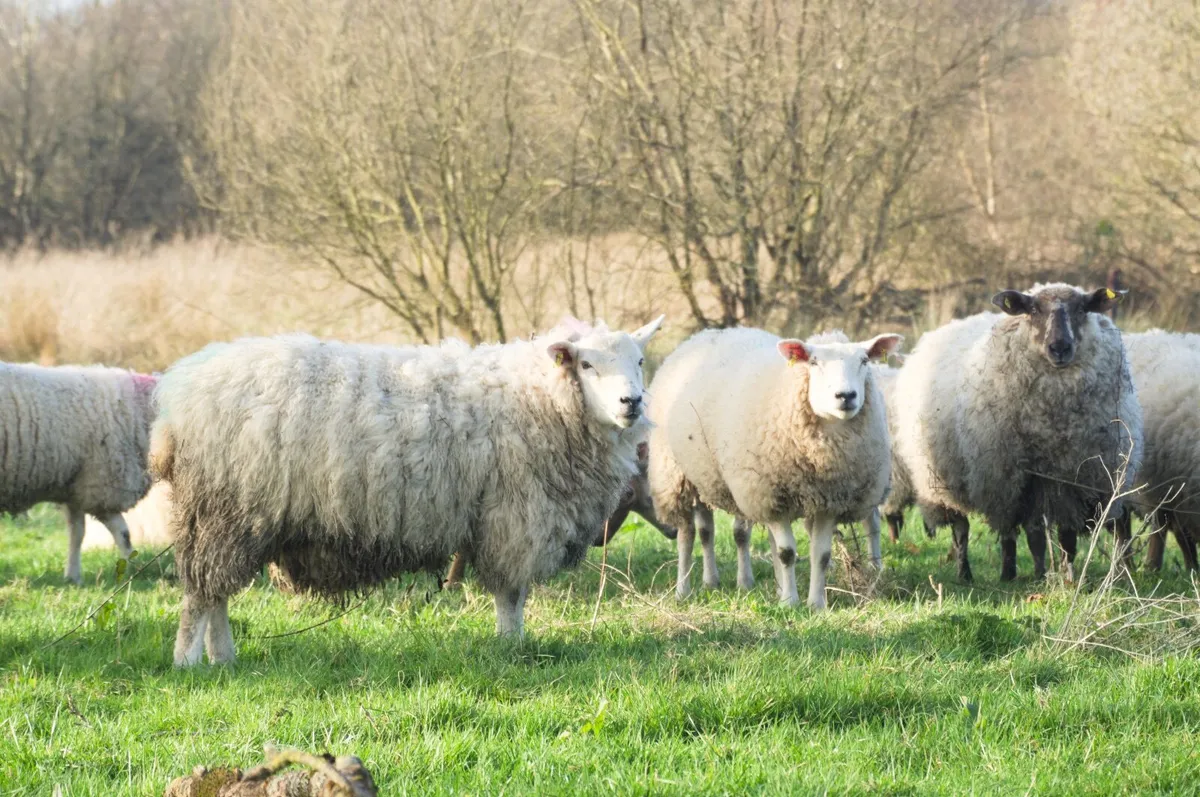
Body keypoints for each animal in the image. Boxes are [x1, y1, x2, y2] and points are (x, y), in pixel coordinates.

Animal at [0, 363, 157, 583]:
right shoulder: (101, 485)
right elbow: (123, 533)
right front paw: (133, 567)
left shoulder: (75, 486)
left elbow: (77, 533)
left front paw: (72, 576)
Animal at [151, 316, 664, 666]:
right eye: (587, 364)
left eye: (640, 361)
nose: (632, 402)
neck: (542, 396)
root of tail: (176, 397)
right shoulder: (515, 517)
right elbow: (511, 594)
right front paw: (512, 646)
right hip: (223, 508)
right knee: (200, 596)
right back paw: (189, 662)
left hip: (227, 517)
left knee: (214, 592)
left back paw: (223, 657)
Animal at [648, 327, 902, 609]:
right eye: (814, 362)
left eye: (864, 360)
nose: (846, 396)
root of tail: (706, 334)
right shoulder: (769, 496)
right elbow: (786, 553)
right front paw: (790, 602)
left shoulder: (828, 501)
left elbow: (821, 554)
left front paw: (816, 604)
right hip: (673, 475)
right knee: (687, 533)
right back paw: (683, 589)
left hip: (704, 475)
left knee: (707, 531)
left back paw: (714, 581)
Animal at [893, 284, 1142, 583]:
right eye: (1033, 310)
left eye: (1082, 309)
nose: (1059, 347)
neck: (1054, 428)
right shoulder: (1019, 476)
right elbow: (1033, 536)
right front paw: (1036, 575)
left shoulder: (1073, 479)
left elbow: (1067, 537)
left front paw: (1067, 576)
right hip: (948, 481)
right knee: (966, 529)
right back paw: (975, 573)